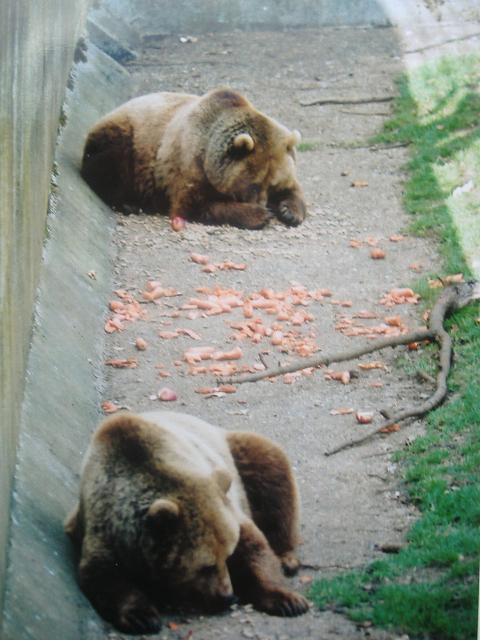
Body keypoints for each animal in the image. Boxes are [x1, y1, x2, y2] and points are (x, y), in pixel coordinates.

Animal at [65, 410, 309, 634]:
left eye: (227, 555)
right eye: (205, 566)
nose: (228, 596)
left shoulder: (227, 507)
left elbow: (253, 544)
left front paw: (288, 601)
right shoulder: (105, 525)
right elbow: (101, 573)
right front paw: (141, 616)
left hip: (236, 457)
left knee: (272, 474)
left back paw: (286, 558)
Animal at [81, 88, 307, 230]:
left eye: (272, 184)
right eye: (253, 185)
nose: (263, 204)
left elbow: (294, 189)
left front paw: (290, 211)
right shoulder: (188, 164)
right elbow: (195, 204)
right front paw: (258, 215)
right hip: (126, 140)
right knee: (108, 168)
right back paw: (129, 203)